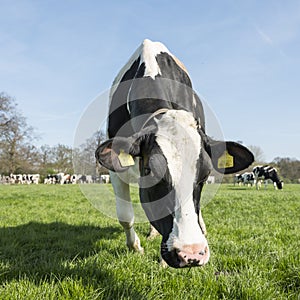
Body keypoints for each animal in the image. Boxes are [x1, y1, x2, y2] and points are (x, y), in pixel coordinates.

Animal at [95, 39, 254, 268]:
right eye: (151, 172)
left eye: (205, 176)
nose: (191, 253)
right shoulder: (116, 169)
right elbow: (125, 216)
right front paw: (136, 247)